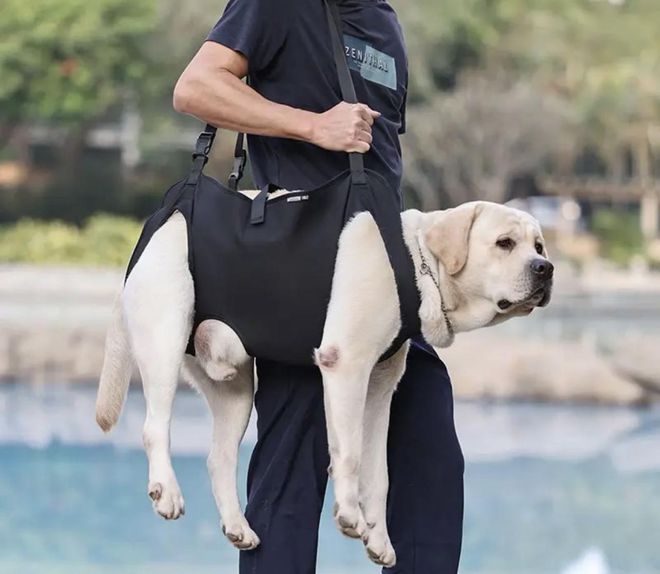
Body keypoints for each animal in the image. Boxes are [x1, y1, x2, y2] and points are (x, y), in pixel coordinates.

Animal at [95, 200, 553, 567]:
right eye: (505, 243)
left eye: (539, 246)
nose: (546, 269)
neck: (415, 261)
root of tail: (153, 229)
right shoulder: (346, 365)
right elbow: (348, 454)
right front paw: (349, 513)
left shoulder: (380, 387)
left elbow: (379, 474)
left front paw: (379, 537)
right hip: (166, 337)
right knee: (154, 427)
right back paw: (166, 491)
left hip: (234, 388)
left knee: (218, 458)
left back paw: (237, 525)